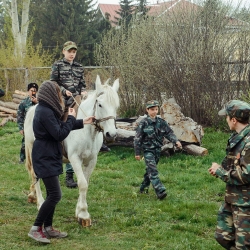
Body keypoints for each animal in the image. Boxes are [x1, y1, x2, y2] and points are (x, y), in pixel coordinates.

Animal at [23, 75, 119, 227]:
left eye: (116, 106)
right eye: (100, 104)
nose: (111, 134)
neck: (86, 131)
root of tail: (33, 109)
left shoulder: (92, 160)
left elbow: (85, 182)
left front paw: (79, 212)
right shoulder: (75, 159)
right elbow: (82, 184)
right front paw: (84, 214)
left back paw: (34, 196)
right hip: (33, 152)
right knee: (35, 175)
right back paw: (40, 201)